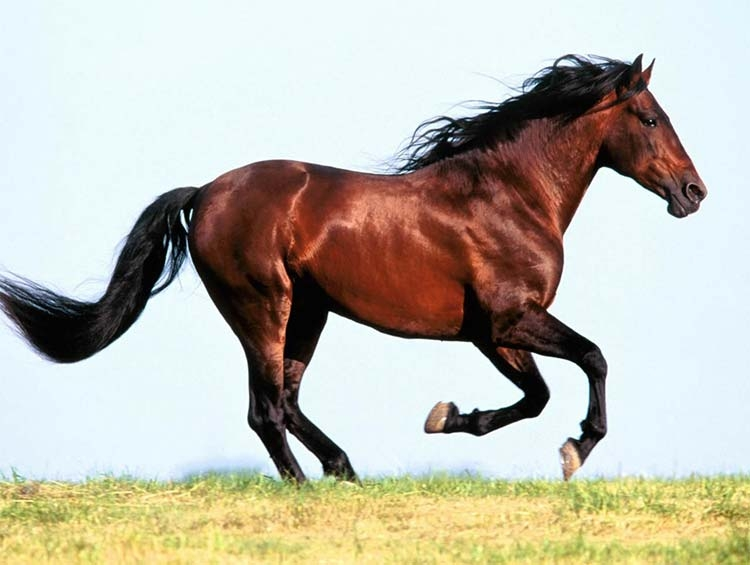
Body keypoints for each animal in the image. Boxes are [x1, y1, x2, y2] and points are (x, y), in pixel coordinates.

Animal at [0, 55, 706, 482]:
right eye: (650, 118)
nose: (693, 192)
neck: (509, 194)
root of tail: (204, 193)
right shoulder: (510, 319)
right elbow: (590, 360)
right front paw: (574, 449)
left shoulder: (490, 333)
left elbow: (536, 395)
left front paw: (449, 416)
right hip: (263, 306)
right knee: (266, 409)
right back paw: (308, 485)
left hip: (308, 312)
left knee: (286, 399)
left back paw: (342, 469)